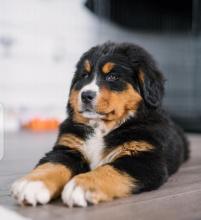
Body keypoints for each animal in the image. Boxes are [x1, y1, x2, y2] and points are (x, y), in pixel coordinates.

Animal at [11, 42, 190, 207]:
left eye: (113, 77)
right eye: (84, 76)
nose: (86, 95)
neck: (101, 128)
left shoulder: (143, 158)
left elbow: (109, 169)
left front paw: (82, 185)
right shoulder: (68, 148)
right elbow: (53, 164)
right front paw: (32, 184)